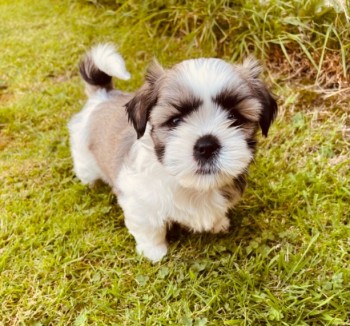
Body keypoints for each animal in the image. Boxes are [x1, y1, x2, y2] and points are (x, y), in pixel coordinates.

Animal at [68, 43, 276, 262]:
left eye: (234, 117)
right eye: (175, 120)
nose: (206, 145)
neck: (192, 185)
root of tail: (102, 96)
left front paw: (219, 223)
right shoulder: (137, 199)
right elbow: (148, 226)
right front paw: (153, 251)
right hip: (83, 155)